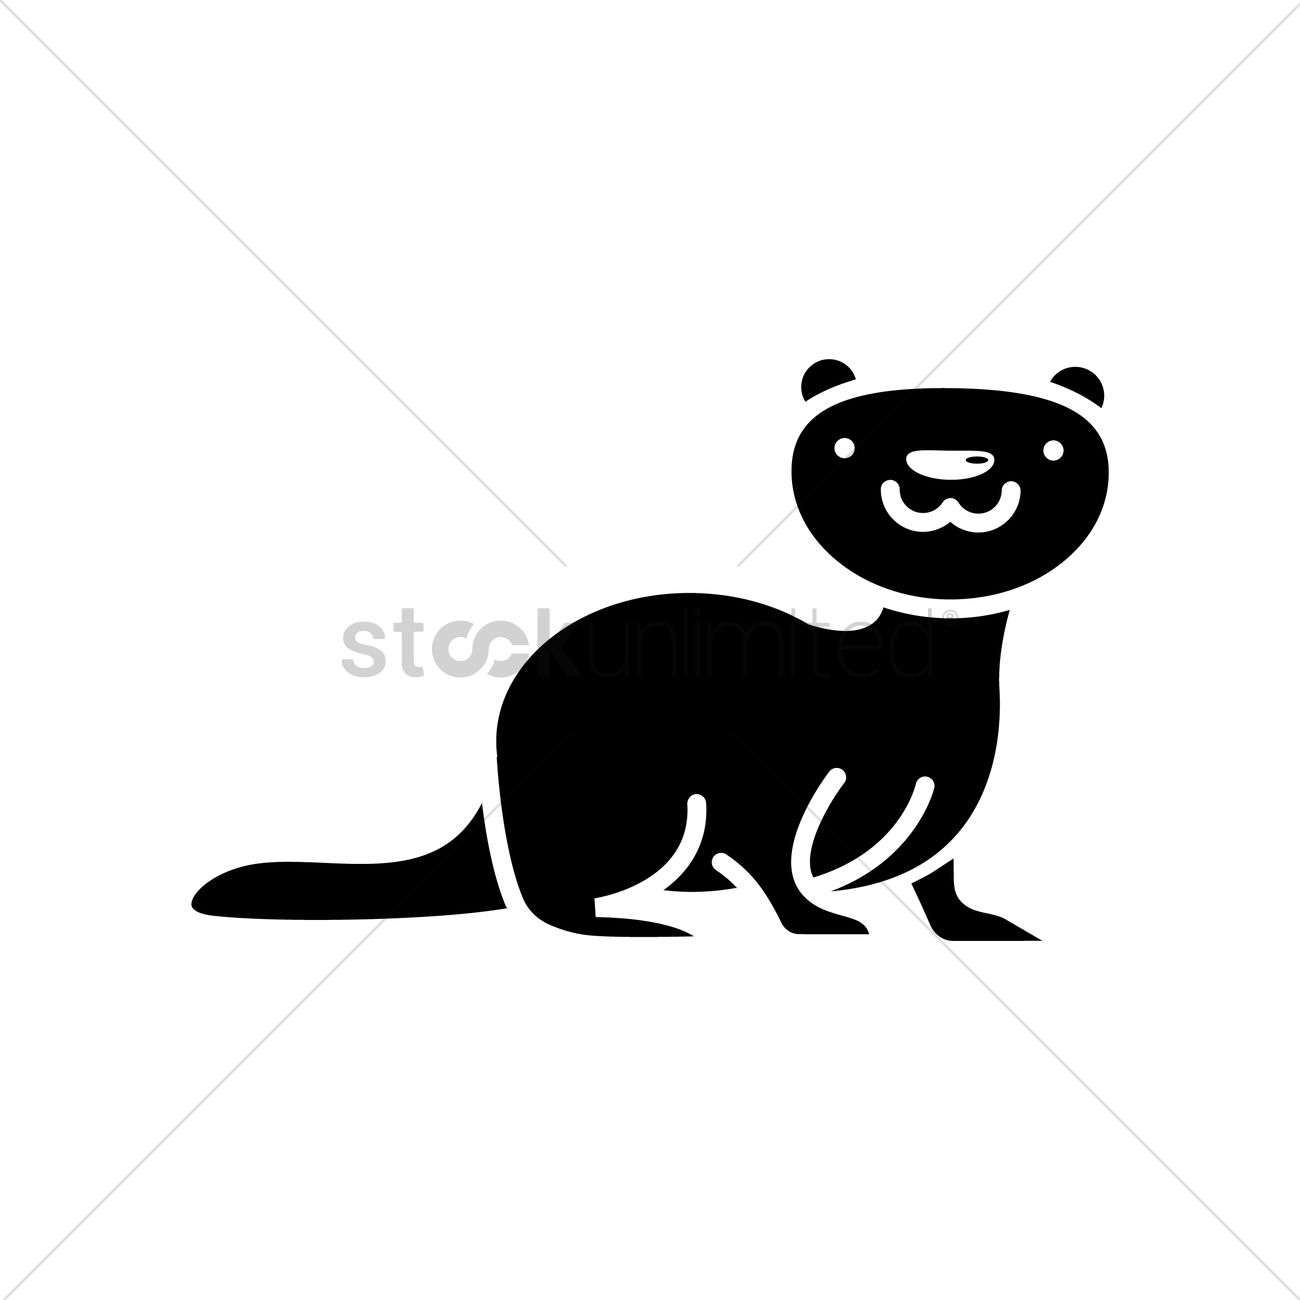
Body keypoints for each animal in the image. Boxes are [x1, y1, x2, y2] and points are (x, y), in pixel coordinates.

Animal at [193, 361, 1108, 938]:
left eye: (1052, 445)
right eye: (849, 444)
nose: (948, 468)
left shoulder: (947, 806)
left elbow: (938, 878)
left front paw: (974, 926)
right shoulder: (762, 773)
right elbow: (773, 853)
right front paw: (815, 919)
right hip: (633, 802)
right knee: (556, 901)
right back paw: (638, 922)